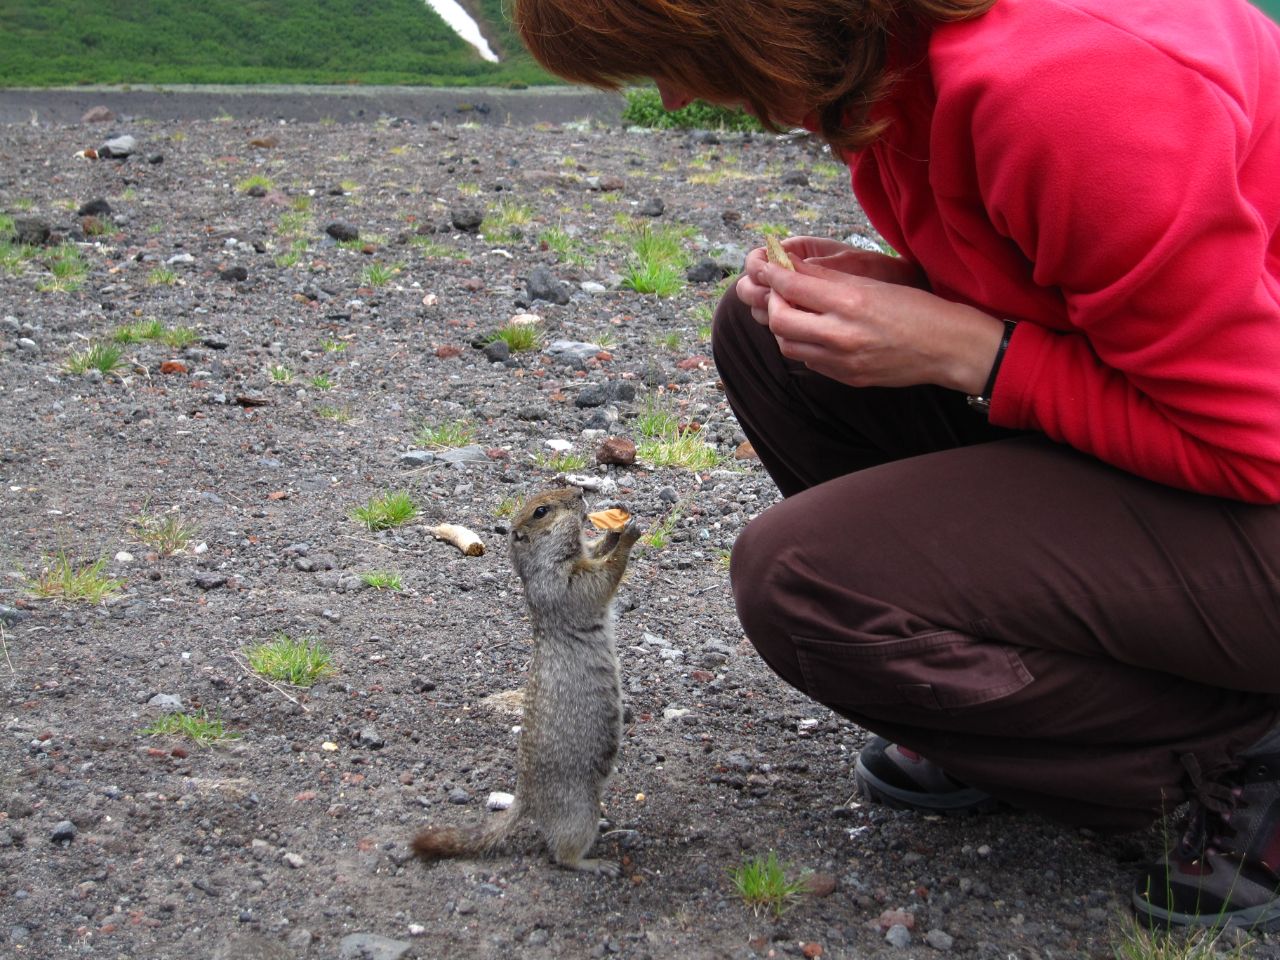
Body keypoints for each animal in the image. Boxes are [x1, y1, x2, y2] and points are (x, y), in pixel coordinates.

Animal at [412, 491, 640, 875]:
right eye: (541, 511)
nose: (580, 494)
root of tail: (524, 798)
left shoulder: (580, 558)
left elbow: (595, 550)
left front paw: (614, 527)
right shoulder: (561, 582)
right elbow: (600, 579)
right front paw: (629, 536)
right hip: (578, 806)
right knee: (562, 852)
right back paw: (595, 863)